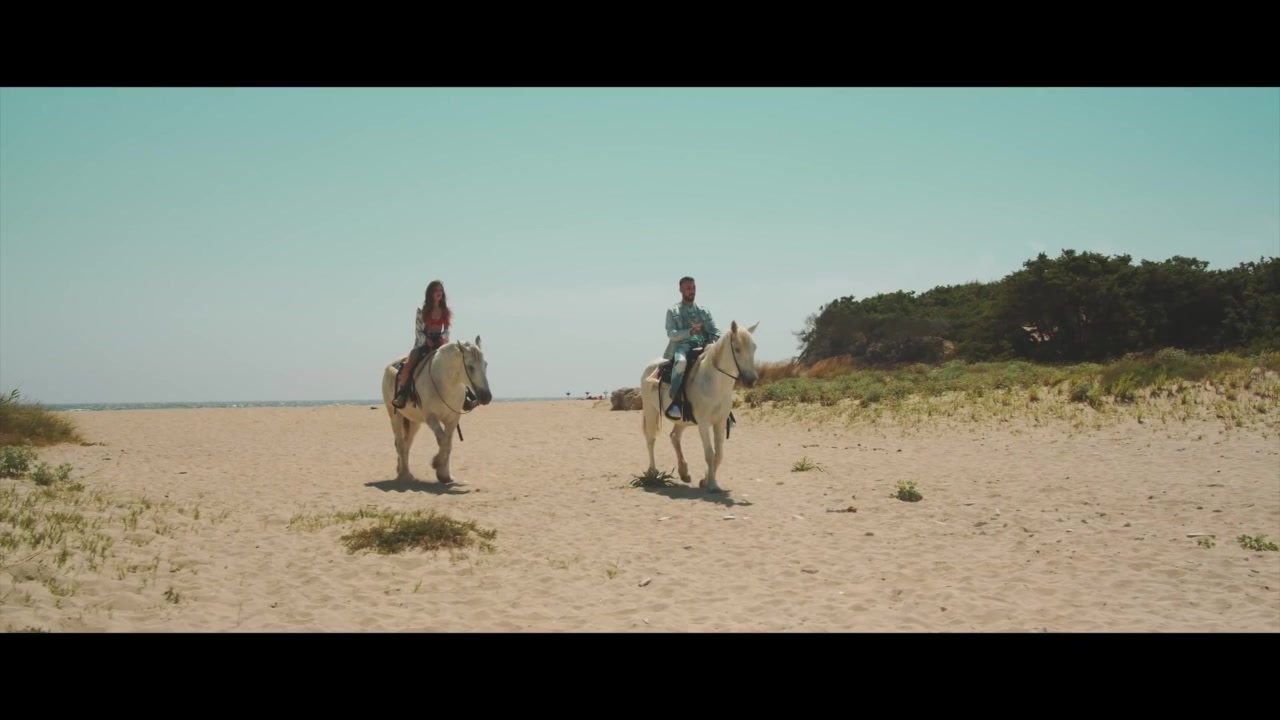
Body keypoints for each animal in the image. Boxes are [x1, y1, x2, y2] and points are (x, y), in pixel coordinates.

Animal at [381, 337, 492, 484]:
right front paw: (437, 464)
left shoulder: (452, 419)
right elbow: (443, 441)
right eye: (470, 366)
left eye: (485, 364)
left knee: (406, 444)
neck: (446, 383)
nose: (486, 397)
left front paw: (445, 475)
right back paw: (405, 475)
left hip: (414, 422)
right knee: (400, 443)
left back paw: (403, 470)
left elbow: (448, 444)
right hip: (395, 416)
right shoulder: (431, 418)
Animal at [640, 320, 759, 493]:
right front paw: (712, 484)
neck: (715, 383)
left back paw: (684, 472)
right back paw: (653, 473)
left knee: (674, 437)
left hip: (681, 420)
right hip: (650, 410)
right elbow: (709, 453)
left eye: (754, 347)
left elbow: (719, 455)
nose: (751, 380)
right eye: (737, 348)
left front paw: (705, 480)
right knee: (650, 440)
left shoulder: (719, 423)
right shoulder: (703, 423)